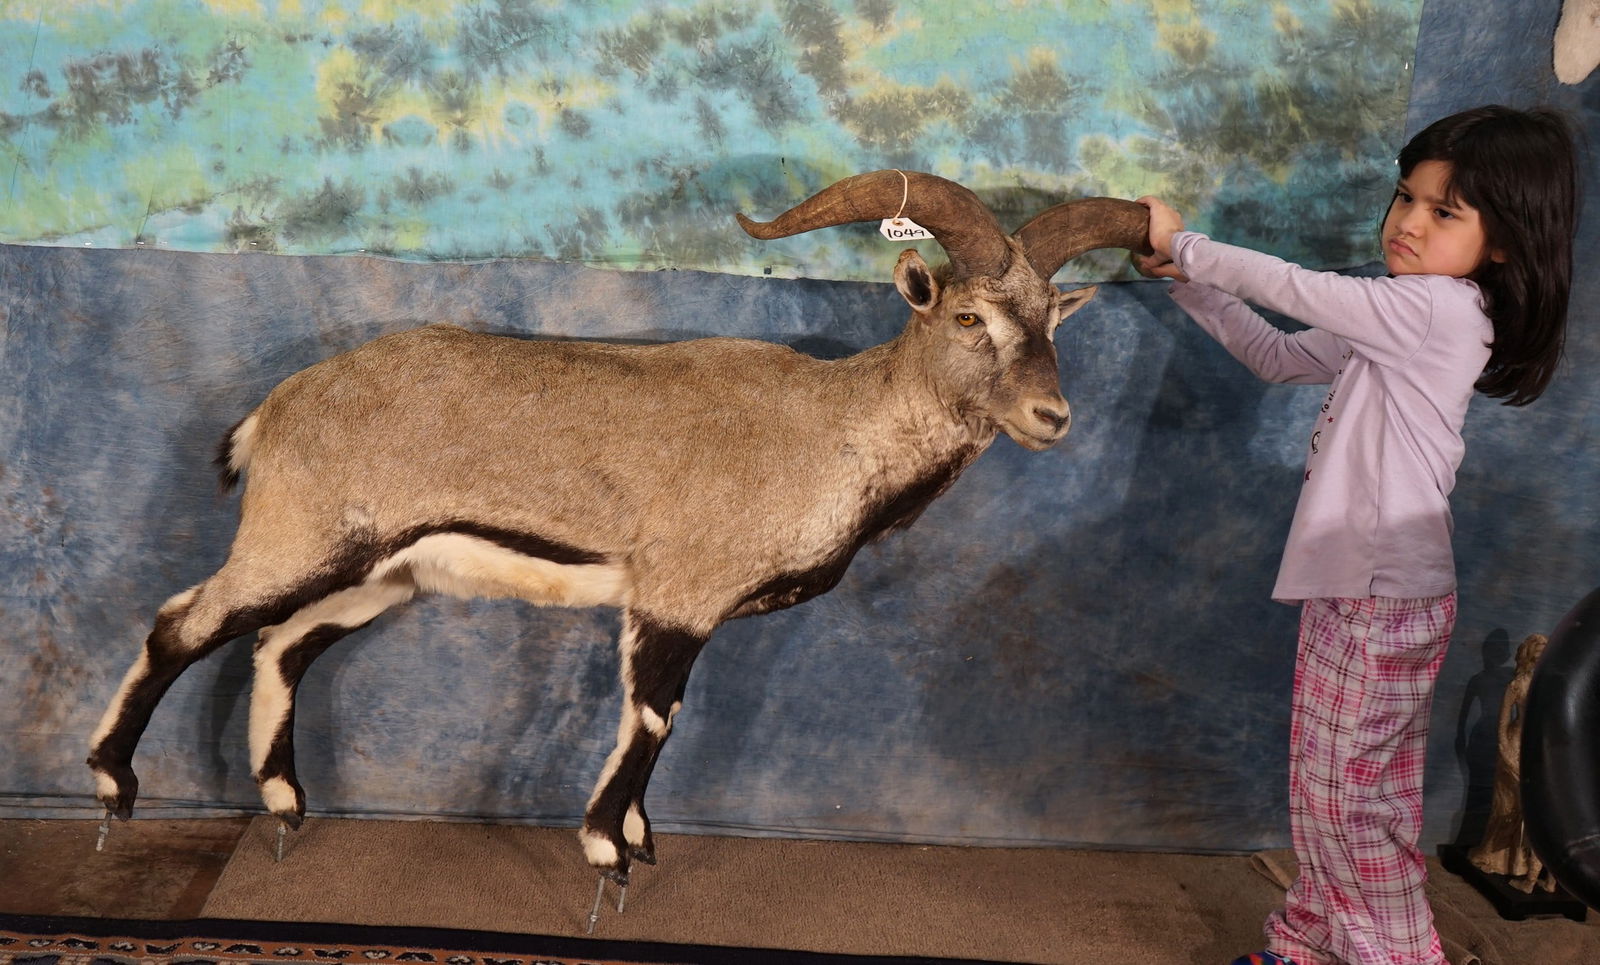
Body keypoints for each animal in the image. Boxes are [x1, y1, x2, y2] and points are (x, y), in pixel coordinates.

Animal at [85, 169, 1149, 902]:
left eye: (1053, 322)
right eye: (968, 316)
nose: (1053, 416)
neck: (833, 429)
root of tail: (275, 410)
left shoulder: (685, 613)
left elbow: (668, 716)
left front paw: (639, 837)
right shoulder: (675, 597)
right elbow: (650, 716)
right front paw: (606, 852)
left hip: (378, 575)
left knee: (280, 643)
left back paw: (281, 803)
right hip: (297, 540)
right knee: (184, 621)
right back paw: (113, 784)